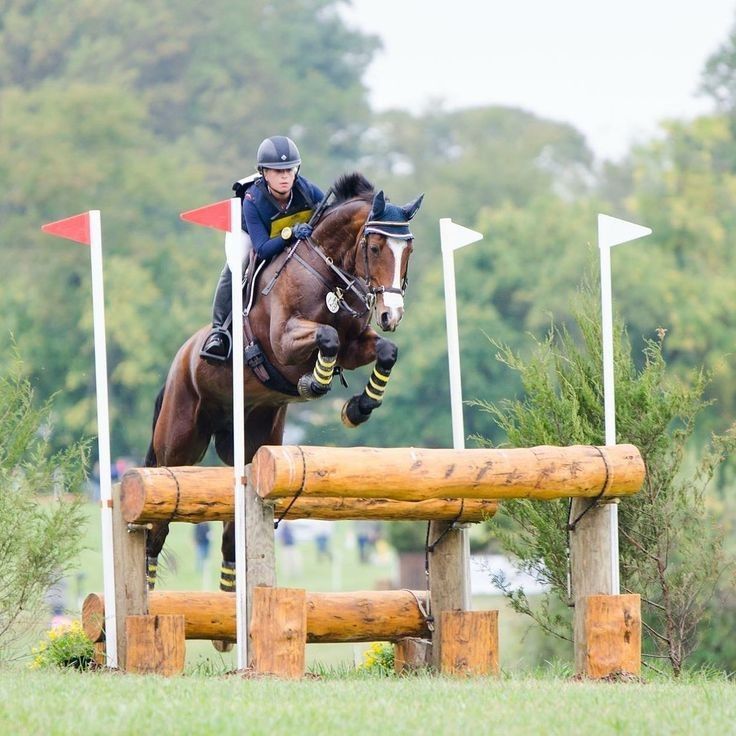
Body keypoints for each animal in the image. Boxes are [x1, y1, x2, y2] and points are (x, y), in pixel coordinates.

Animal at [142, 172, 426, 600]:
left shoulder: (357, 345)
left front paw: (358, 408)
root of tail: (179, 362)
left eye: (408, 249)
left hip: (254, 445)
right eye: (375, 247)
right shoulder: (284, 344)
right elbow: (327, 337)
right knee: (158, 523)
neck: (327, 274)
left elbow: (385, 351)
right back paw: (145, 593)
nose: (391, 315)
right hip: (179, 444)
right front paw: (315, 383)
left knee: (232, 533)